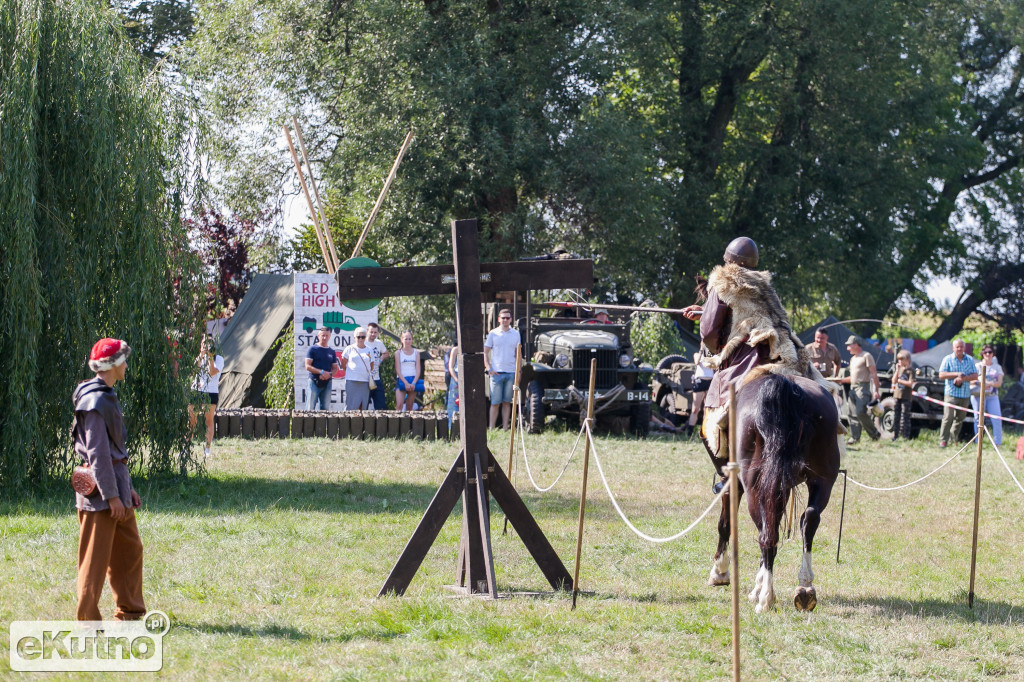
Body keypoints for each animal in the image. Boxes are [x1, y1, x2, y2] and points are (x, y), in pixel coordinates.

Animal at [704, 368, 839, 614]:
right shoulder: (780, 489)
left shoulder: (733, 484)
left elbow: (725, 524)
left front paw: (720, 572)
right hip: (822, 481)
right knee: (809, 519)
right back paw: (805, 587)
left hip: (753, 487)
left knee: (767, 535)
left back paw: (766, 597)